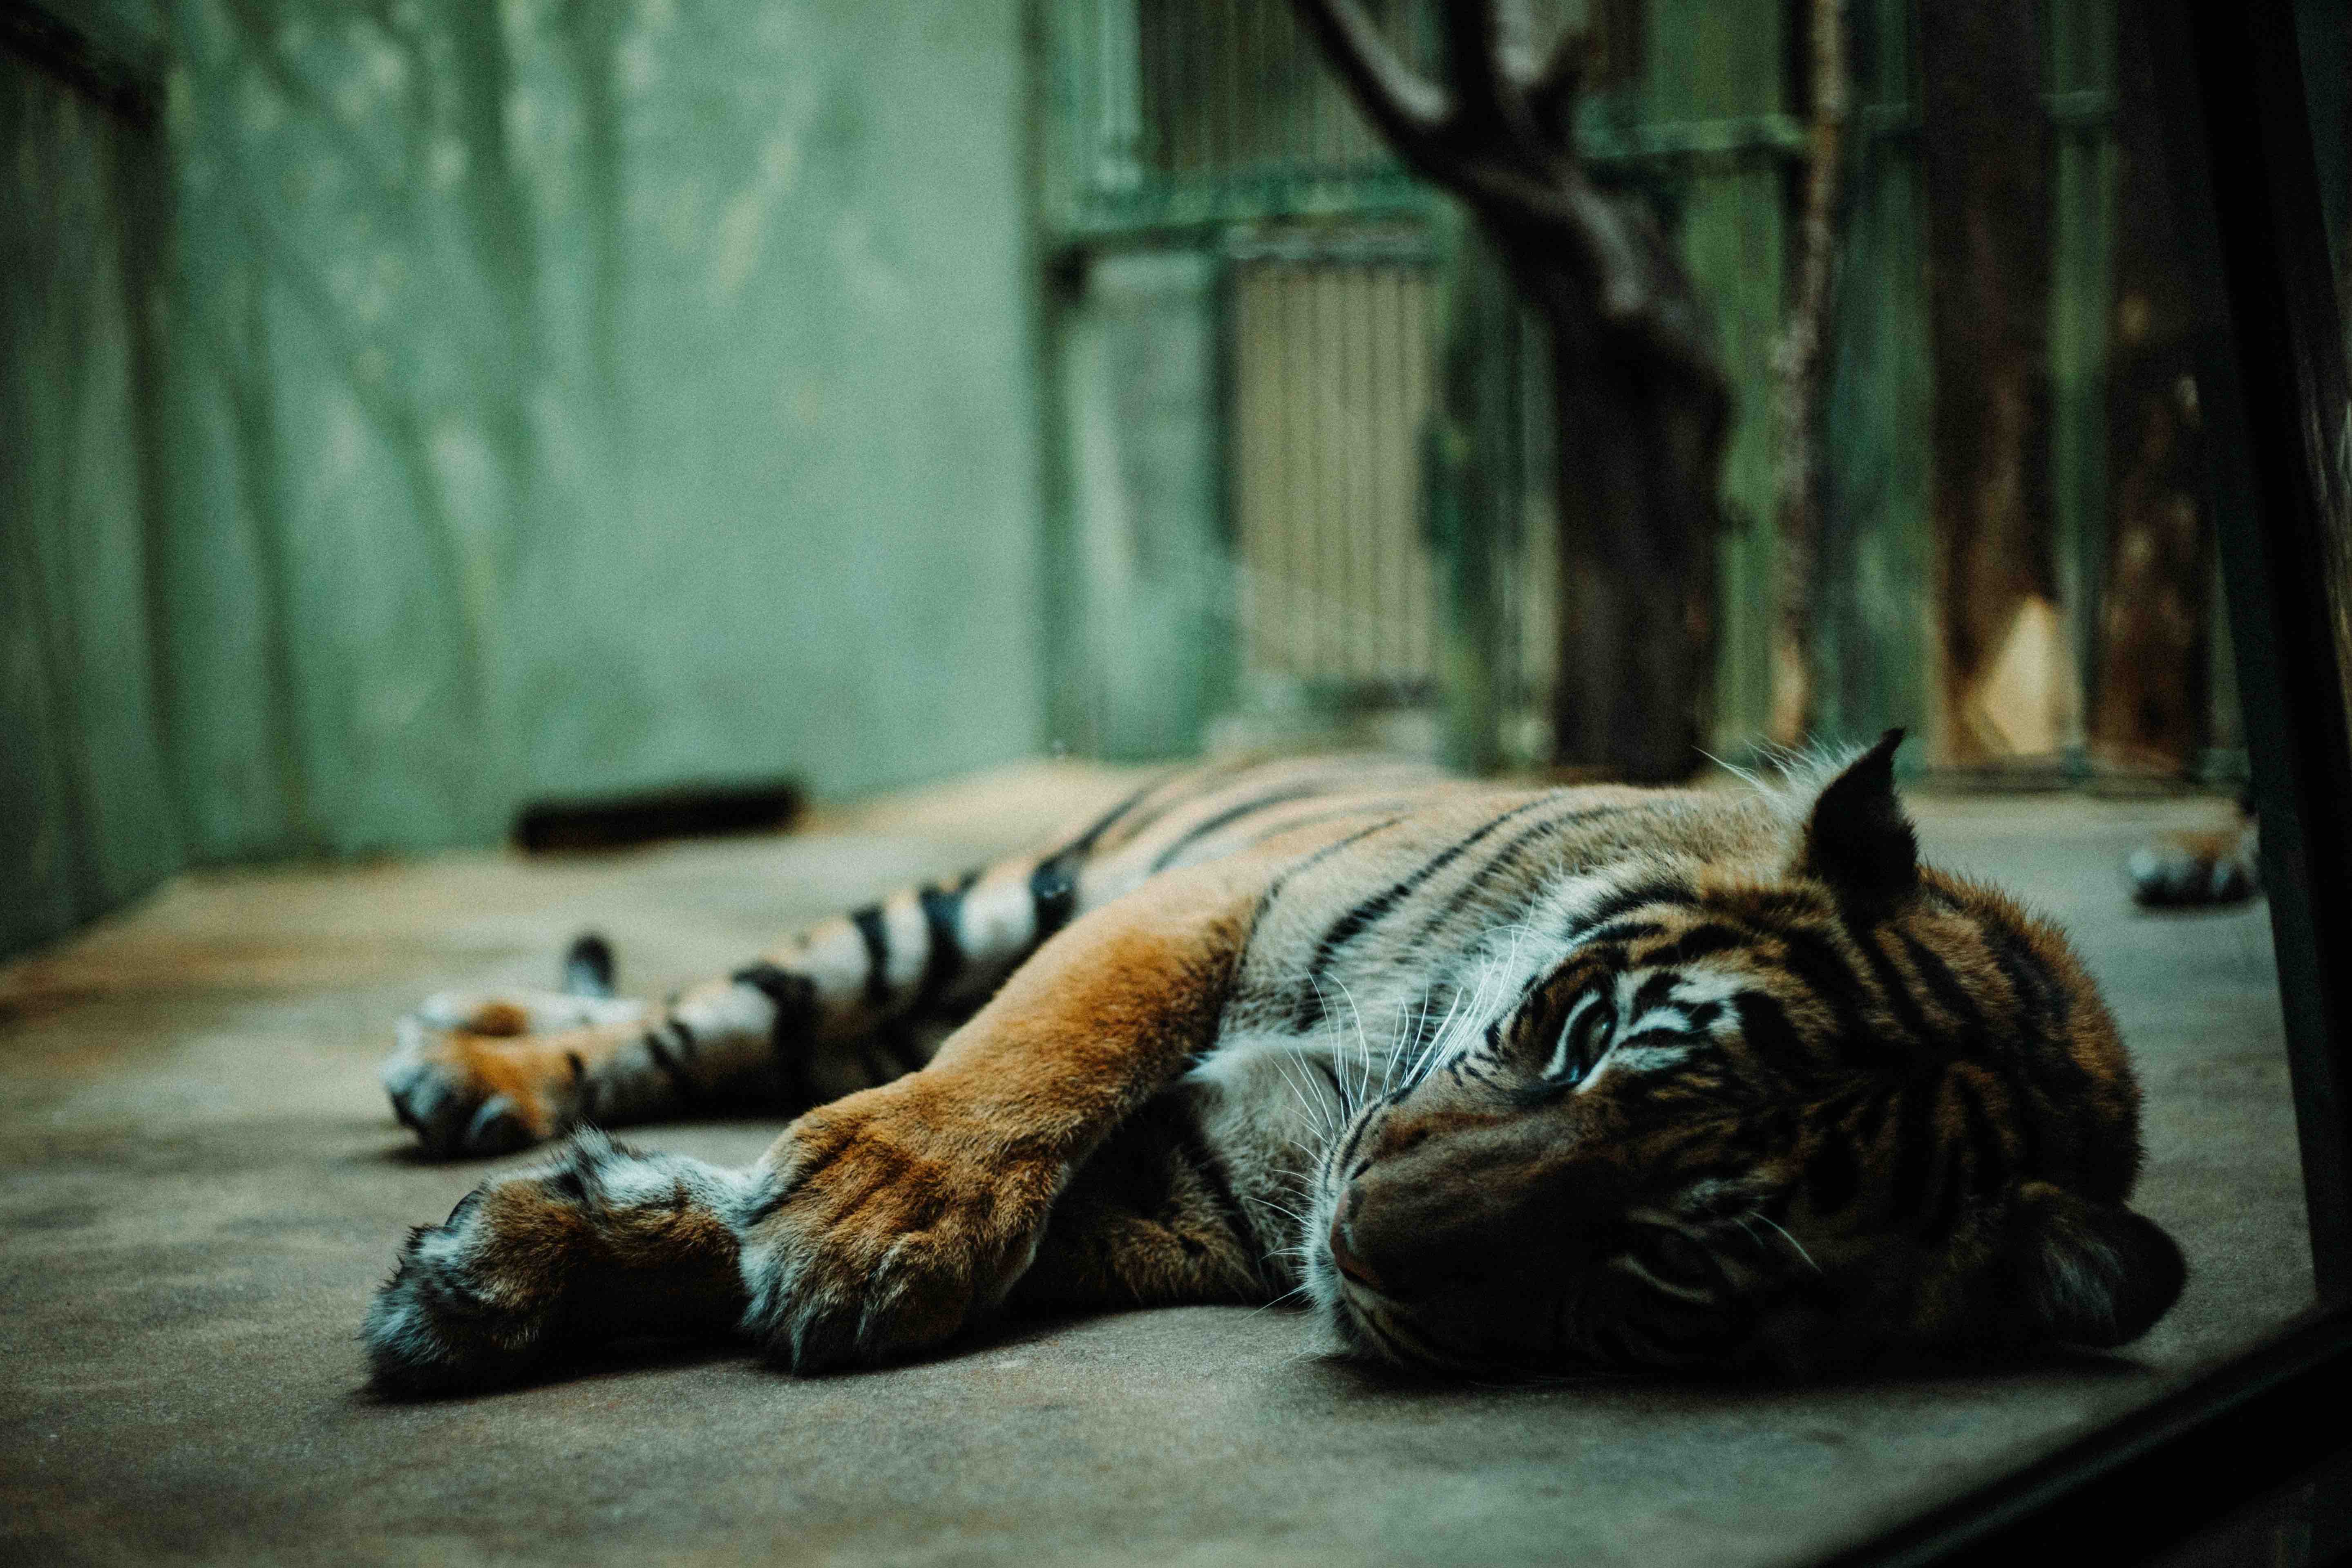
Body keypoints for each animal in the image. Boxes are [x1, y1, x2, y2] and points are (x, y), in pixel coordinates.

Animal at [364, 733, 2185, 1393]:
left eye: (1676, 1260)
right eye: (1583, 1034)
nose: (1360, 1230)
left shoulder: (1212, 1190)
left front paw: (514, 1268)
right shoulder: (1192, 905)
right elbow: (1042, 1050)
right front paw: (871, 1211)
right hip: (956, 910)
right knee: (697, 1011)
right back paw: (466, 1065)